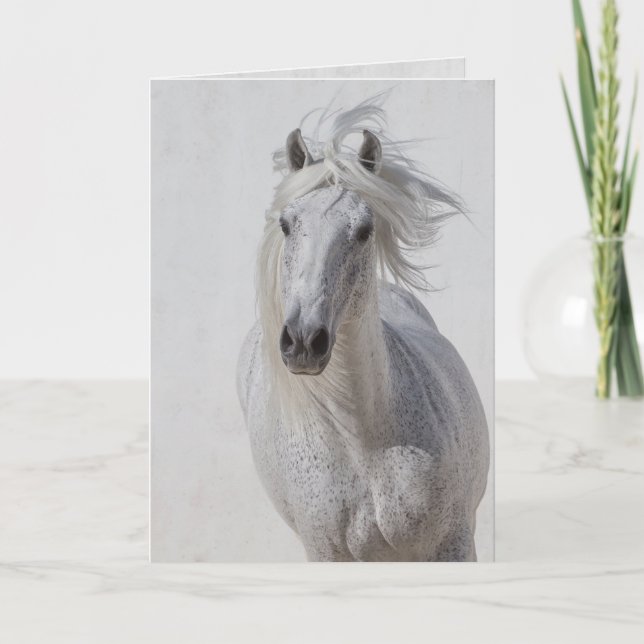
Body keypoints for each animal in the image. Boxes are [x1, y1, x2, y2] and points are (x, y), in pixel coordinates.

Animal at [237, 99, 489, 561]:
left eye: (364, 229)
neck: (364, 444)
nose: (304, 340)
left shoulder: (455, 543)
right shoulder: (328, 554)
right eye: (286, 224)